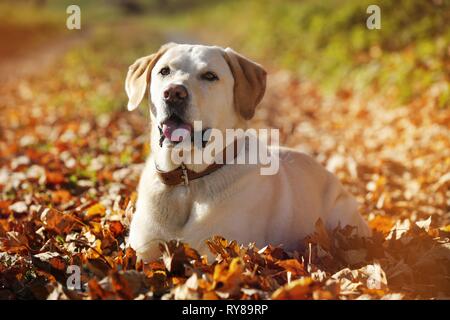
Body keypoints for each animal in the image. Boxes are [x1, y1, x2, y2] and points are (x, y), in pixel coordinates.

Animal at [124, 43, 370, 262]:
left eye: (210, 76)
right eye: (164, 71)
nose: (173, 93)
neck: (188, 181)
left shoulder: (216, 251)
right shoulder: (142, 249)